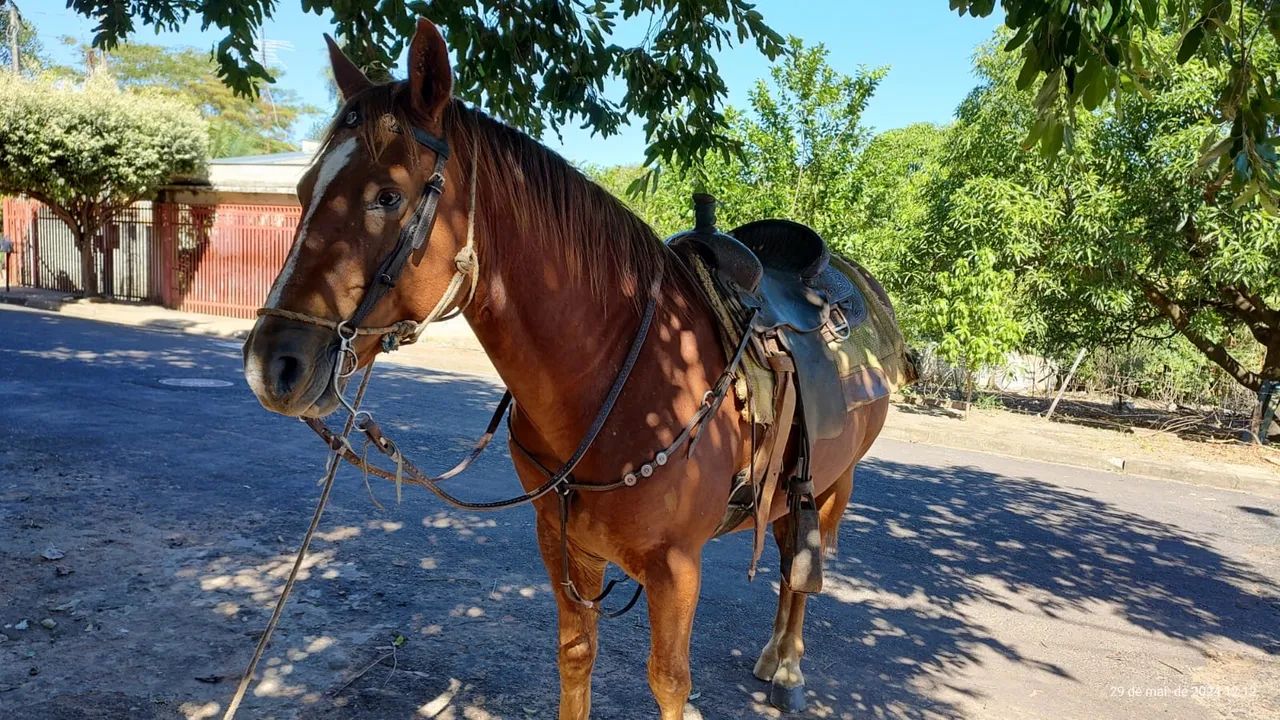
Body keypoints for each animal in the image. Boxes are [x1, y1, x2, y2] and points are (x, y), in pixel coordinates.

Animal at [242, 19, 898, 719]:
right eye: (303, 192)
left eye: (387, 195)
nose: (272, 364)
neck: (624, 380)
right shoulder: (561, 543)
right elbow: (576, 657)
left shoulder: (677, 569)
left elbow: (670, 682)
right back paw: (774, 653)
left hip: (833, 486)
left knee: (801, 570)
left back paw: (790, 667)